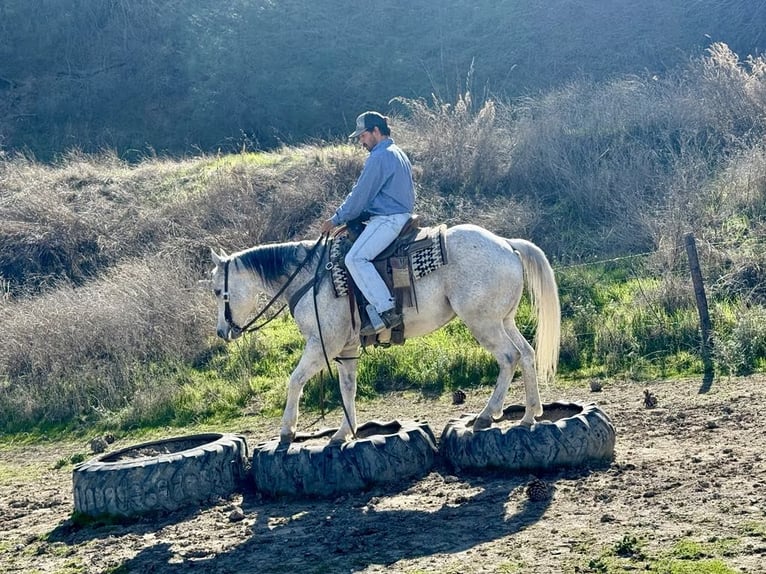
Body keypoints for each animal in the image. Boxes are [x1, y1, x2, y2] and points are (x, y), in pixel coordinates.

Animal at [209, 223, 560, 445]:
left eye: (216, 291)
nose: (222, 331)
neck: (311, 278)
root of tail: (507, 244)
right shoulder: (345, 350)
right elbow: (347, 389)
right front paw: (343, 433)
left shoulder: (321, 345)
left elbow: (295, 381)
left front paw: (287, 431)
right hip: (504, 320)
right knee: (526, 355)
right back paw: (530, 414)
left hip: (483, 323)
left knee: (508, 358)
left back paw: (488, 415)